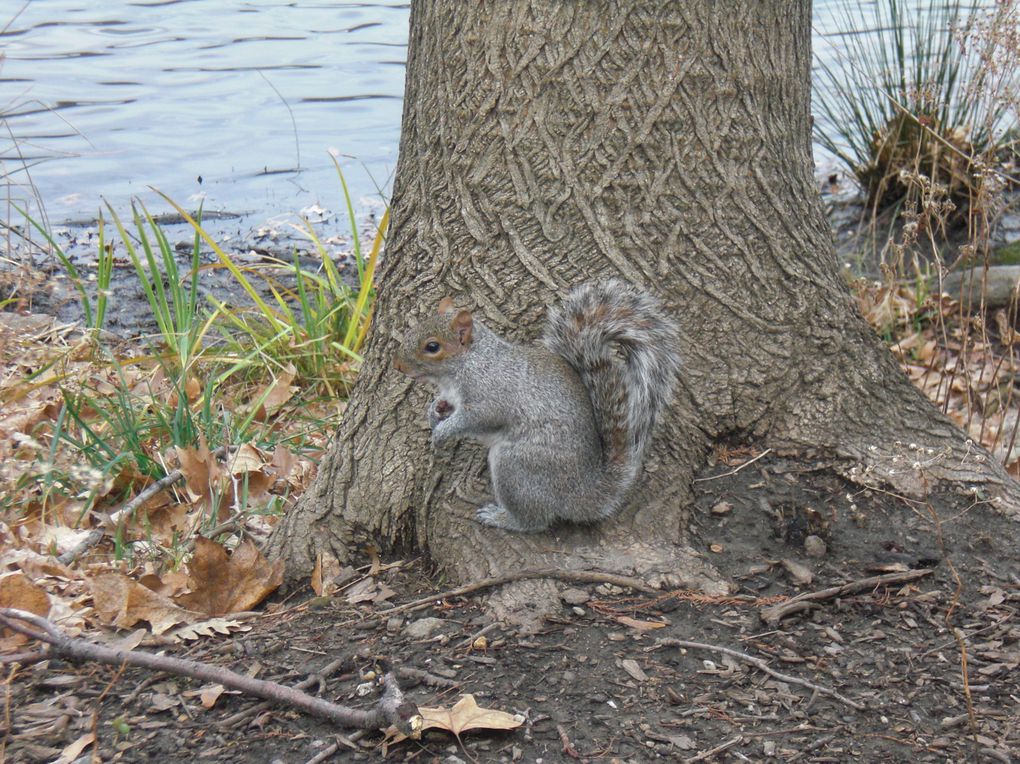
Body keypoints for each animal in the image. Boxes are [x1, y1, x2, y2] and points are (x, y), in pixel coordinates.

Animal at [393, 279, 681, 530]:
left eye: (432, 347)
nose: (398, 366)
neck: (469, 361)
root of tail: (583, 493)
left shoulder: (491, 392)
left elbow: (478, 417)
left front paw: (443, 432)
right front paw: (435, 410)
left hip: (515, 466)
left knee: (535, 521)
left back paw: (502, 518)